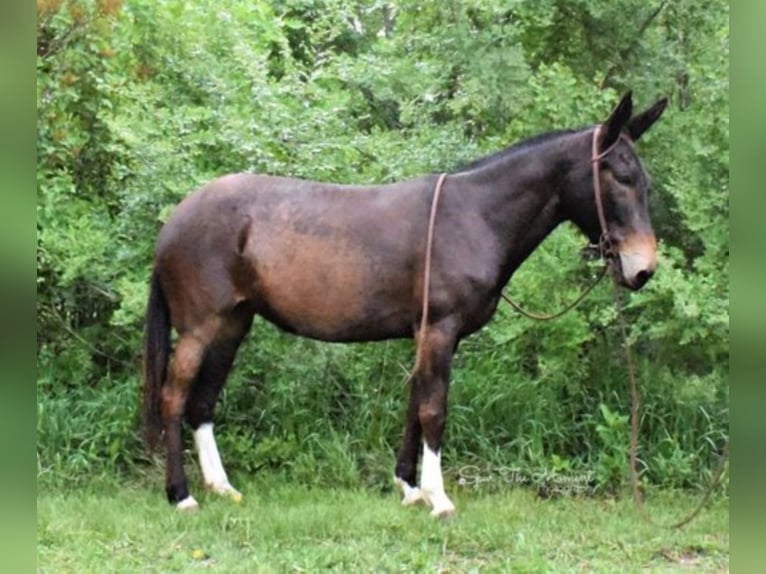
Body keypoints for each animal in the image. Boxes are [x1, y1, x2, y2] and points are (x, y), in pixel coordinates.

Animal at [142, 91, 664, 516]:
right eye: (619, 176)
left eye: (645, 180)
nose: (643, 269)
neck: (472, 216)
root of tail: (175, 221)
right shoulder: (439, 330)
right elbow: (434, 409)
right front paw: (439, 499)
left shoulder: (431, 335)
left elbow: (415, 406)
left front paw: (410, 488)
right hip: (200, 327)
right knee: (174, 397)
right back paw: (181, 494)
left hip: (233, 324)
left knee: (203, 401)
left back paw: (220, 486)